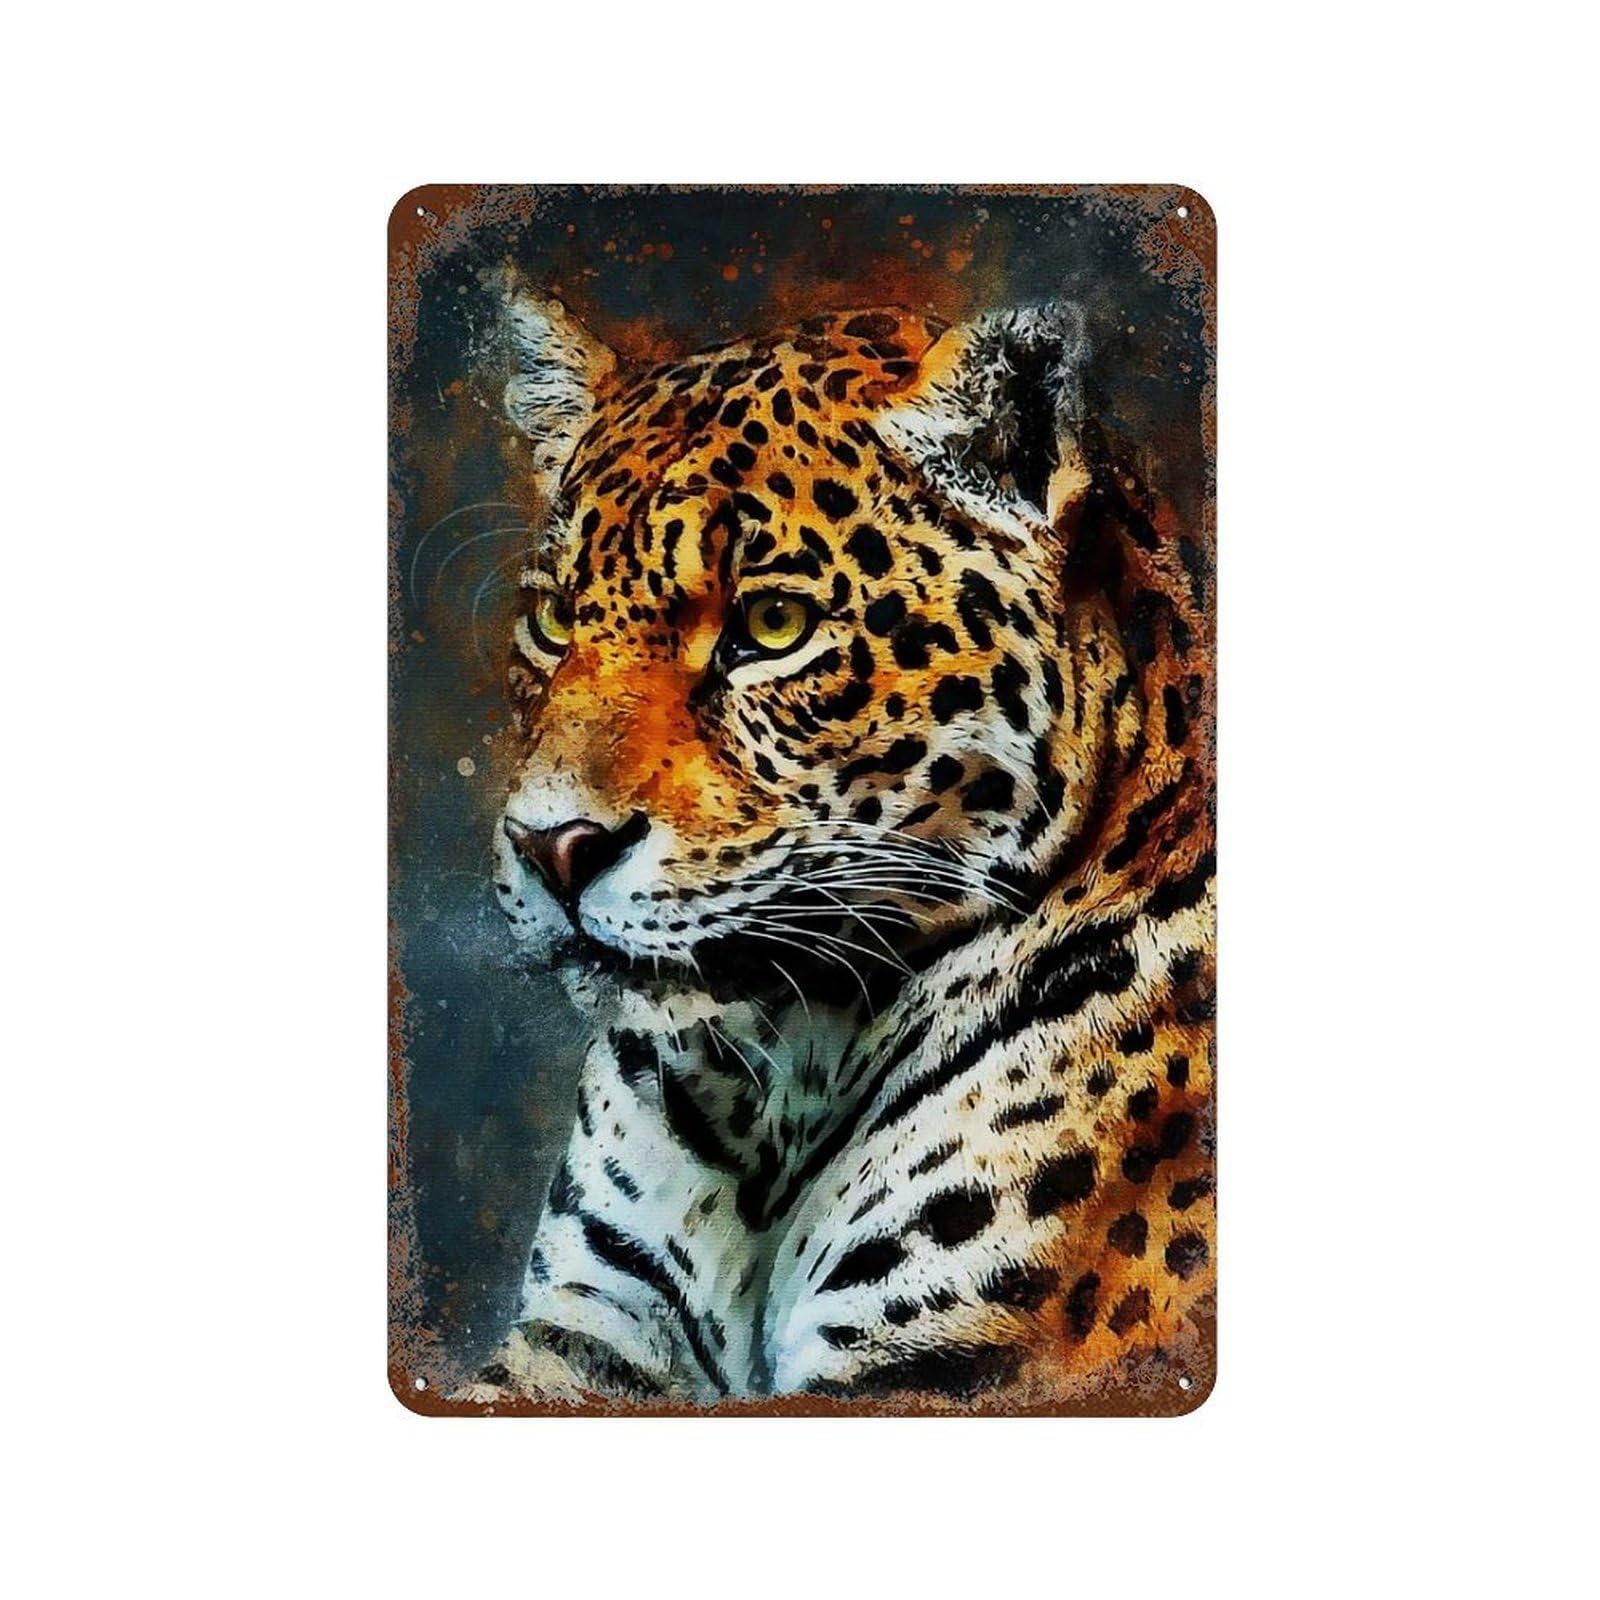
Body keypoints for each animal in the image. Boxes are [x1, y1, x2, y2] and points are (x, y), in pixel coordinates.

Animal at [458, 275, 1215, 1410]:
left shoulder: (936, 1363)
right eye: (553, 621)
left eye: (772, 626)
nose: (550, 846)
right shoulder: (580, 1340)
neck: (772, 1088)